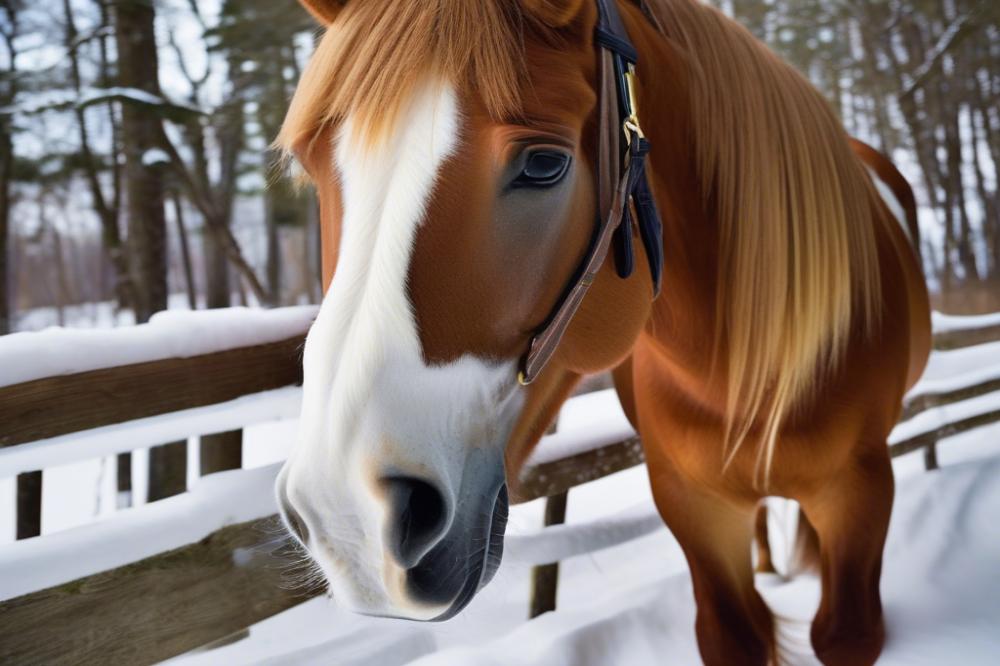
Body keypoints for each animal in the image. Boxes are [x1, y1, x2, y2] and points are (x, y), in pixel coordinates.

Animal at [274, 2, 928, 660]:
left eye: (545, 164)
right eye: (310, 166)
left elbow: (846, 632)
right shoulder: (695, 506)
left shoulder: (860, 490)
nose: (348, 515)